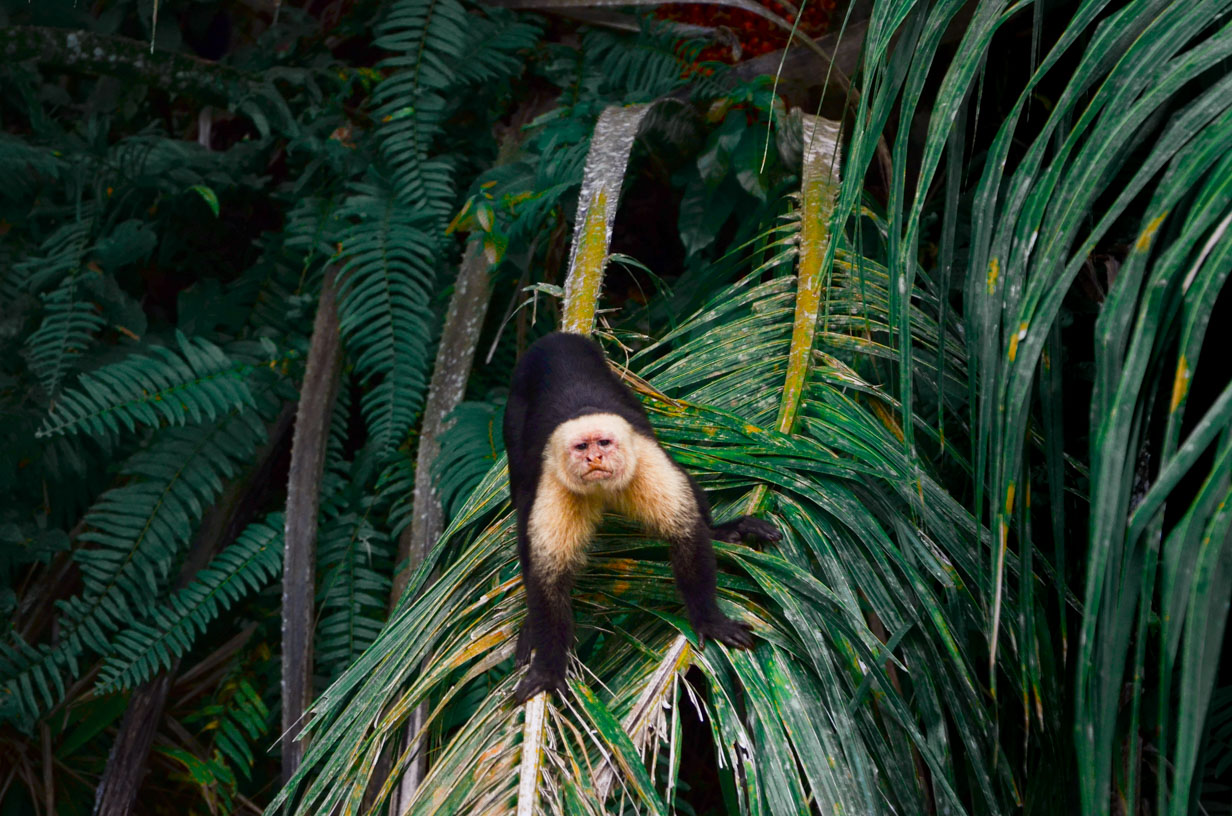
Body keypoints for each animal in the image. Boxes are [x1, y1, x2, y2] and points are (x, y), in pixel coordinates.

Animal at [505, 332, 783, 705]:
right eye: (581, 448)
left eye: (604, 443)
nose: (595, 458)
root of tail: (556, 338)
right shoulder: (556, 482)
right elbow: (548, 577)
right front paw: (549, 667)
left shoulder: (643, 461)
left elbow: (686, 533)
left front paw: (709, 620)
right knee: (523, 493)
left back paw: (722, 531)